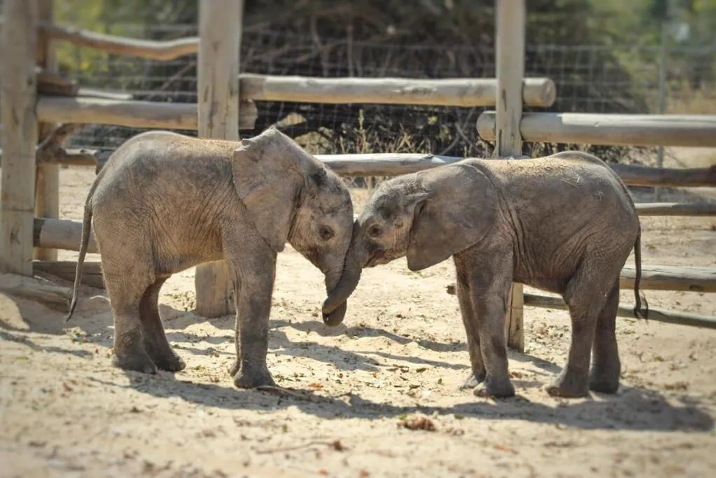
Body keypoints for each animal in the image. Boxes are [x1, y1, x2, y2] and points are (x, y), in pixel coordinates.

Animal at [68, 127, 354, 388]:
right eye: (326, 232)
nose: (325, 314)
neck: (303, 165)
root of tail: (100, 177)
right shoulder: (244, 215)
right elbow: (255, 281)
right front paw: (259, 385)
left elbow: (243, 286)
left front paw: (234, 375)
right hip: (123, 217)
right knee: (133, 283)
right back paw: (138, 367)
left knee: (149, 288)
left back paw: (170, 364)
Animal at [322, 153, 648, 400]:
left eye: (376, 230)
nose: (326, 315)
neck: (427, 181)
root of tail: (627, 193)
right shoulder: (466, 237)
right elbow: (465, 299)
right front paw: (471, 385)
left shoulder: (493, 233)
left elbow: (484, 296)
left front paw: (491, 393)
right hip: (609, 244)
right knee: (606, 307)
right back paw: (602, 388)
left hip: (604, 237)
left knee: (581, 300)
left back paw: (561, 391)